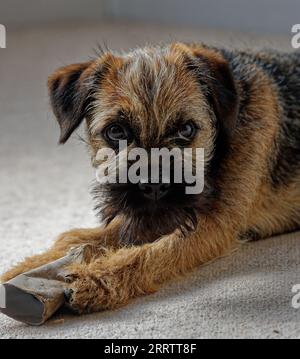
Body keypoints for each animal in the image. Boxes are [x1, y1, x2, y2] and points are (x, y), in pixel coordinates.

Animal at [0, 43, 300, 316]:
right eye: (116, 132)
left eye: (186, 129)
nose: (154, 184)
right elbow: (86, 237)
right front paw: (24, 268)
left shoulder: (214, 224)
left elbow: (154, 252)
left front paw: (97, 279)